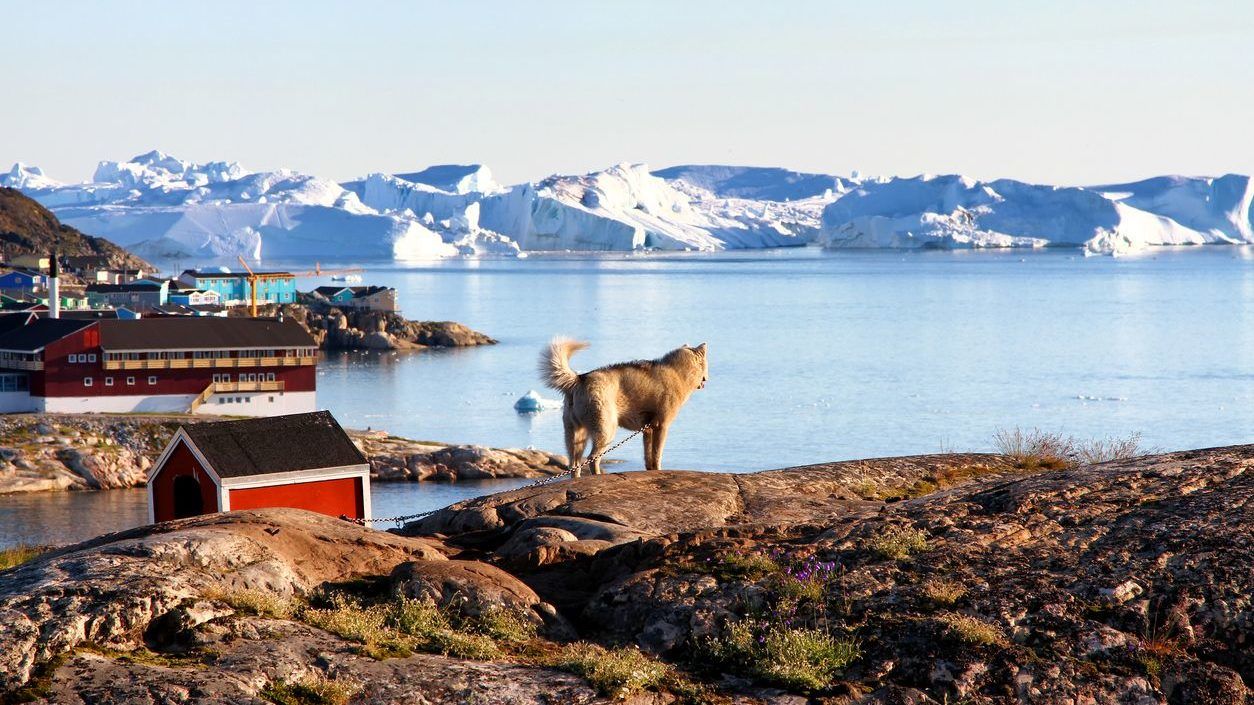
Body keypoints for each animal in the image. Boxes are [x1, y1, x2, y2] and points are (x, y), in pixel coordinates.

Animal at [541, 338, 712, 474]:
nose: (708, 379)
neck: (678, 372)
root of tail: (579, 379)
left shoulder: (648, 429)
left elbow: (648, 454)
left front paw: (650, 470)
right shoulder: (661, 426)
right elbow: (657, 454)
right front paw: (658, 470)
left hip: (575, 434)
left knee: (574, 464)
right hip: (606, 430)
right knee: (592, 458)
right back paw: (598, 476)